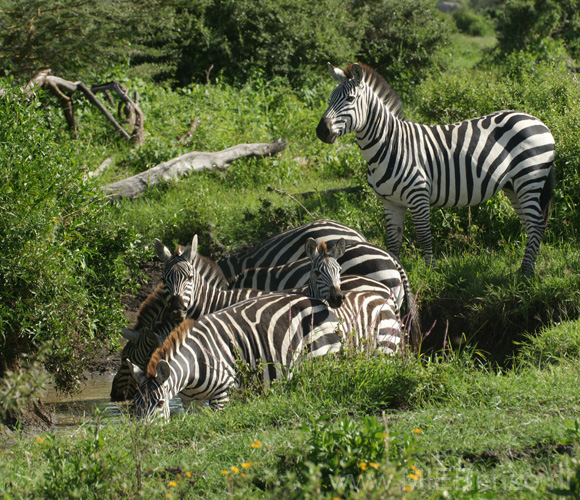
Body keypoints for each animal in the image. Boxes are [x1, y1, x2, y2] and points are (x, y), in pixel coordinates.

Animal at [127, 288, 402, 420]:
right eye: (135, 407)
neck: (194, 365)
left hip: (328, 358)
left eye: (159, 404)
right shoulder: (189, 403)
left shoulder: (223, 393)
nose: (146, 436)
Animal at [318, 63, 556, 274]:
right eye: (330, 99)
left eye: (350, 99)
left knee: (536, 223)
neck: (390, 145)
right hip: (513, 186)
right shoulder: (391, 202)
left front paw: (430, 271)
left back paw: (526, 272)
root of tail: (537, 121)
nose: (321, 131)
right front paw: (395, 270)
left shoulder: (418, 195)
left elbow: (424, 236)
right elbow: (393, 242)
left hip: (529, 178)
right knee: (530, 224)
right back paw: (527, 267)